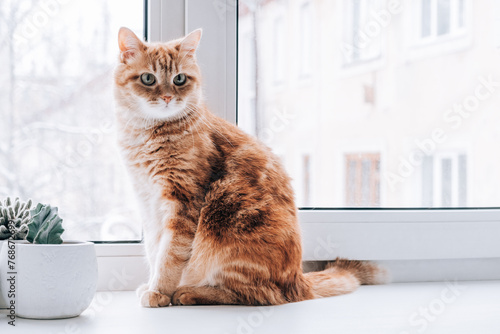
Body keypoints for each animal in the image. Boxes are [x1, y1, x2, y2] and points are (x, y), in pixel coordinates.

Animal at [115, 27, 388, 306]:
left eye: (179, 79)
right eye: (148, 78)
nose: (168, 97)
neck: (148, 135)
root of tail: (299, 279)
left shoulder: (182, 203)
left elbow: (168, 256)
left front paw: (159, 291)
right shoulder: (148, 203)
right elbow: (154, 250)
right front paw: (152, 285)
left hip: (227, 226)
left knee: (257, 294)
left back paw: (189, 292)